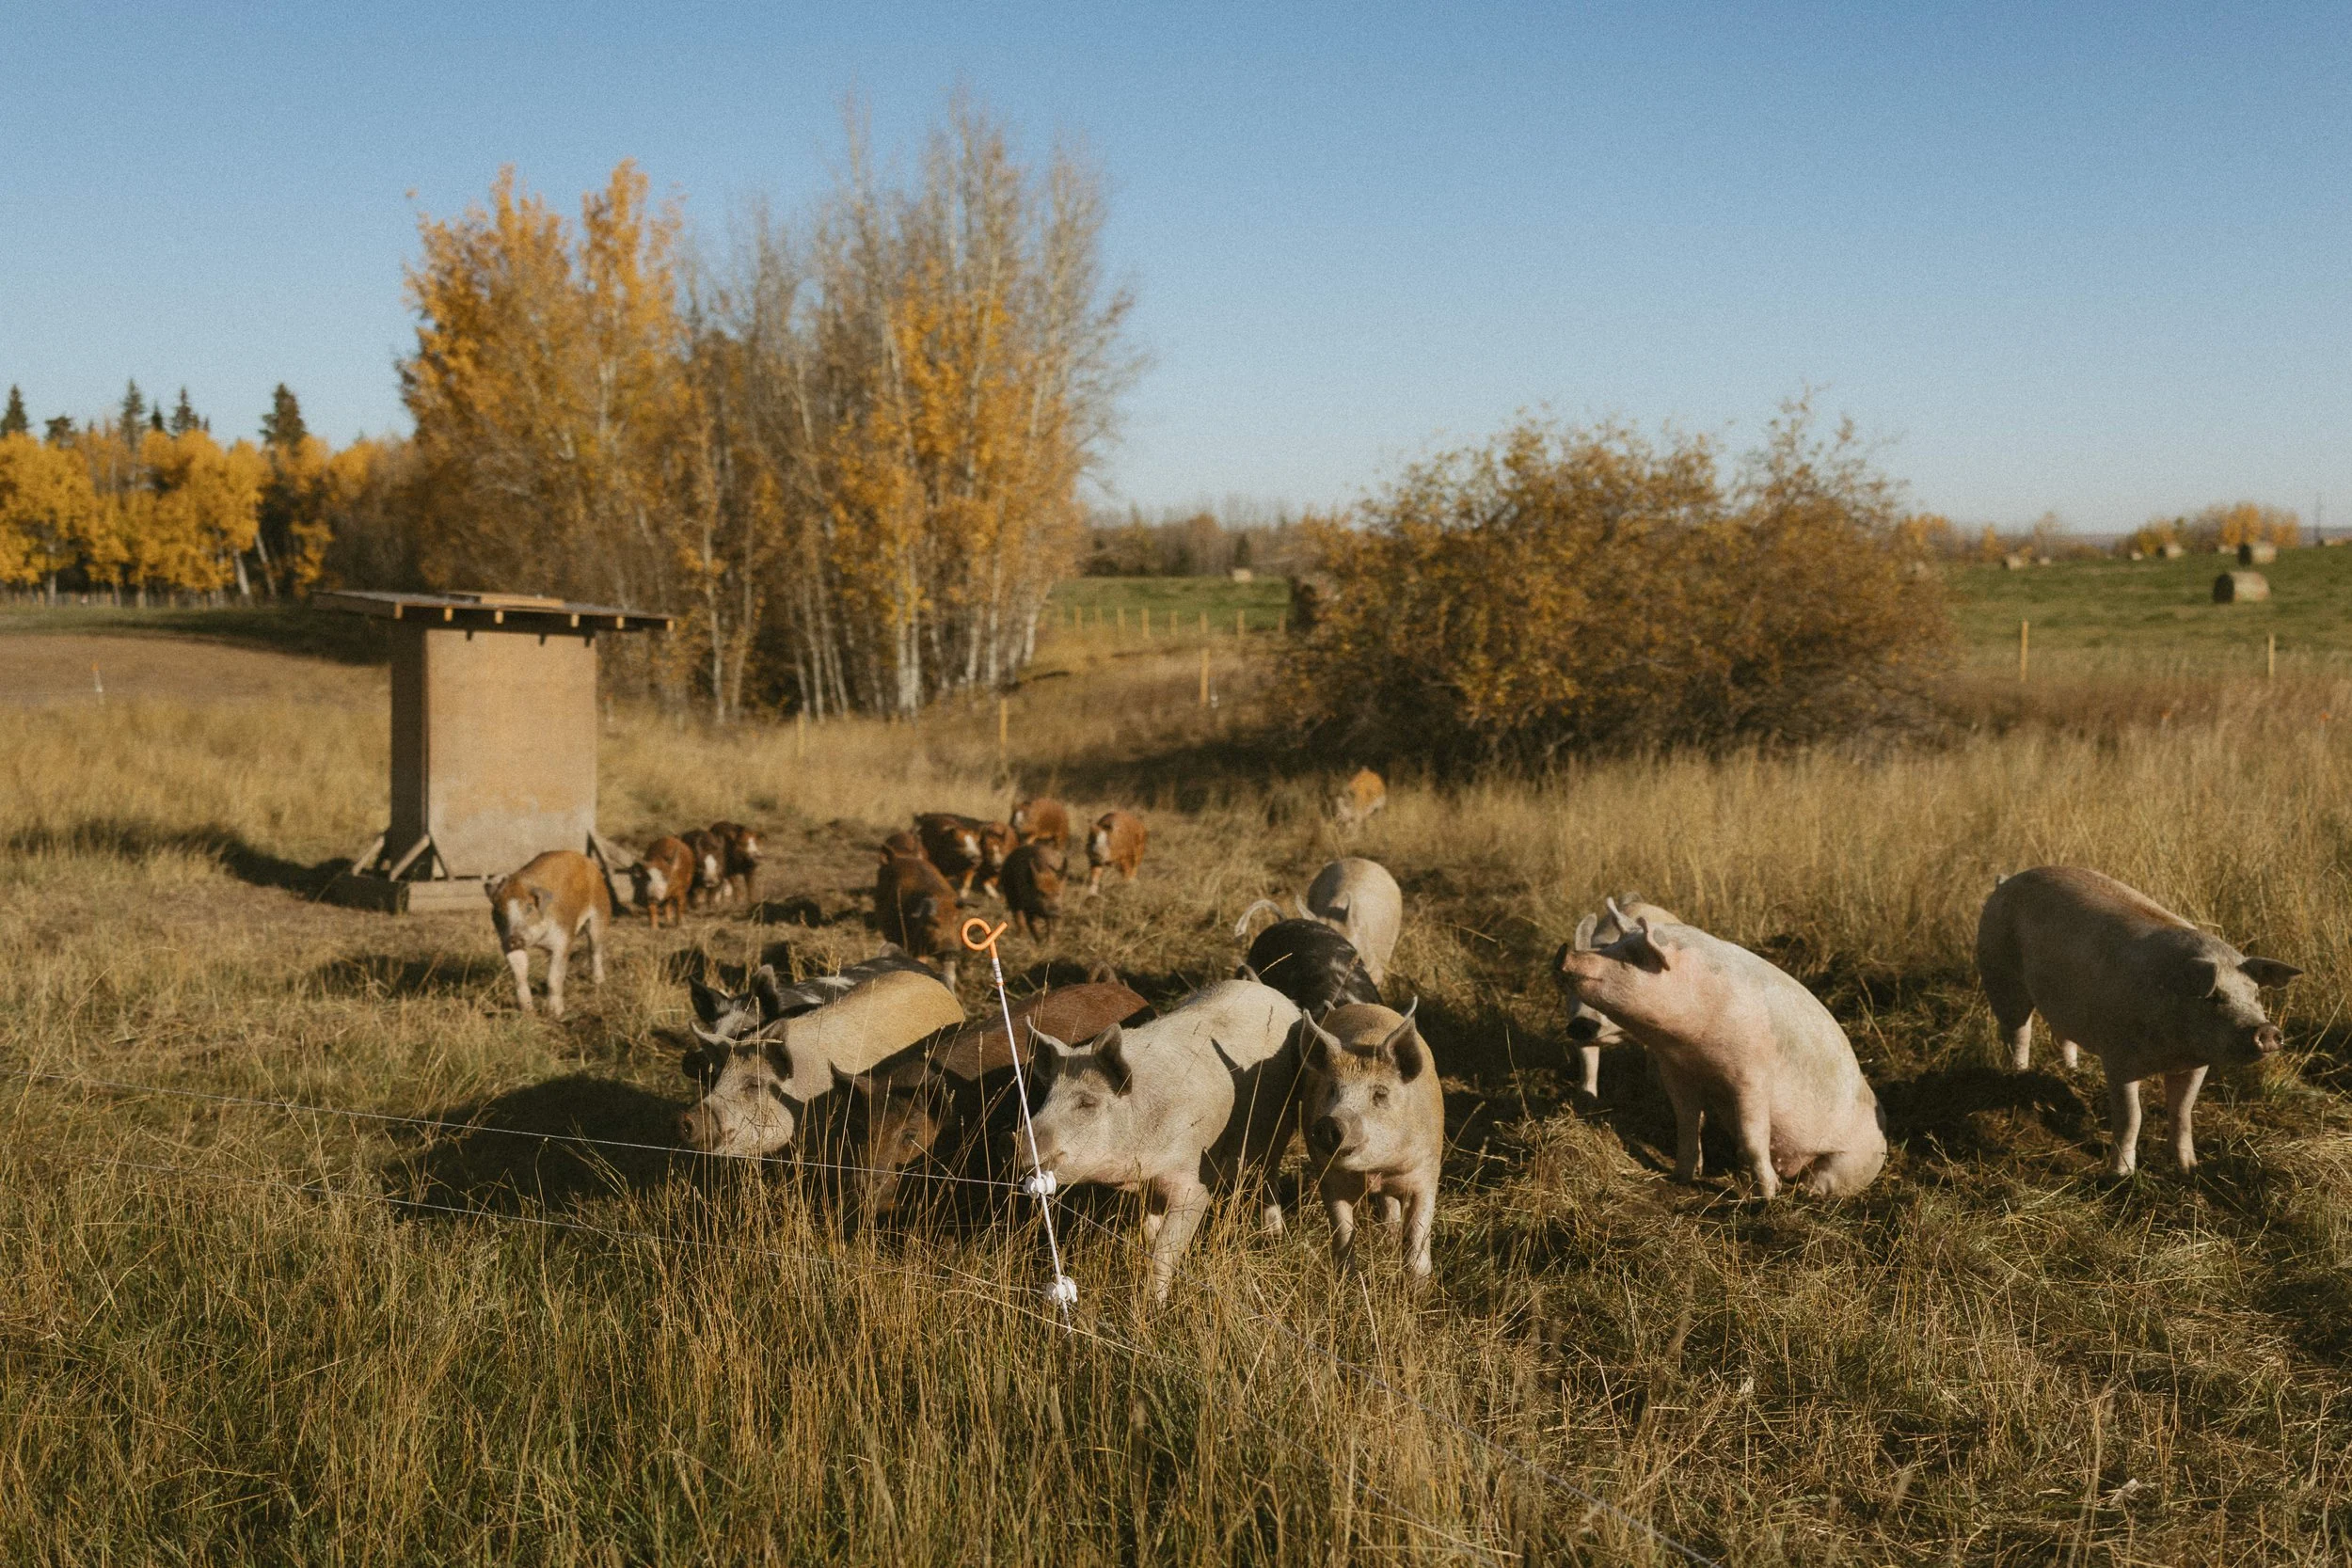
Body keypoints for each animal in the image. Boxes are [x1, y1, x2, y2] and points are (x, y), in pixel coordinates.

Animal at [486, 849, 611, 1020]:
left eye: (529, 907)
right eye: (499, 911)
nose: (515, 938)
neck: (538, 940)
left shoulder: (563, 939)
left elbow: (554, 977)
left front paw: (555, 1014)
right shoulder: (506, 944)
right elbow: (520, 976)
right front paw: (528, 1013)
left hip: (600, 913)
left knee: (595, 949)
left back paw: (598, 982)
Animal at [1023, 979, 1304, 1303]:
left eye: (1086, 1103)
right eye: (1047, 1098)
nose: (1017, 1141)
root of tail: (1275, 994)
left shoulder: (1192, 1183)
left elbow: (1165, 1250)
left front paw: (1152, 1306)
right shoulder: (1148, 1185)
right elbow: (1149, 1235)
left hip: (1280, 1125)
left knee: (1268, 1175)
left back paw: (1273, 1235)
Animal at [1297, 1000, 1444, 1276]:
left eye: (1380, 1094)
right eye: (1332, 1089)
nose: (1329, 1122)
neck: (1376, 1171)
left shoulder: (1427, 1170)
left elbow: (1419, 1234)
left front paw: (1419, 1283)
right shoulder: (1329, 1179)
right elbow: (1343, 1233)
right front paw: (1348, 1278)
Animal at [1976, 865, 2301, 1175]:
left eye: (2256, 995)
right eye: (2213, 997)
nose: (2267, 1030)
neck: (2172, 1052)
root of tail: (2005, 882)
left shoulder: (2196, 1064)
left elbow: (2182, 1112)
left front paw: (2189, 1169)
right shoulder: (2118, 1059)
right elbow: (2132, 1117)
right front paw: (2122, 1175)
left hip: (2062, 1003)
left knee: (2062, 1036)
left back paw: (2073, 1073)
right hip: (2000, 977)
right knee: (2018, 1034)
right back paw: (2020, 1076)